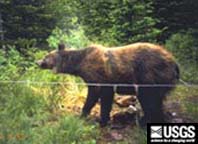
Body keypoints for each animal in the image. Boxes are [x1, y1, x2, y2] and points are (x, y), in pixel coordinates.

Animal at [36, 42, 179, 127]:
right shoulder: (107, 82)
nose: (37, 62)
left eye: (46, 56)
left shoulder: (98, 76)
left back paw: (145, 121)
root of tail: (174, 62)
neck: (79, 64)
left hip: (149, 76)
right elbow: (106, 97)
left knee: (149, 100)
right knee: (156, 102)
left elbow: (95, 96)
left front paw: (90, 117)